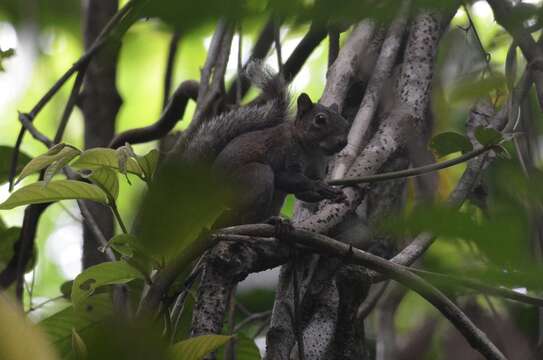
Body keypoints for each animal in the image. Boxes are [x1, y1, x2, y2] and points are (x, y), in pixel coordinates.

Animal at [185, 61, 350, 225]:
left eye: (346, 123)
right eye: (320, 119)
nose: (342, 142)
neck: (312, 151)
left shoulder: (318, 166)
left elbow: (303, 195)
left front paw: (336, 195)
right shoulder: (283, 150)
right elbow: (285, 177)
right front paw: (319, 186)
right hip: (255, 177)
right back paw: (265, 221)